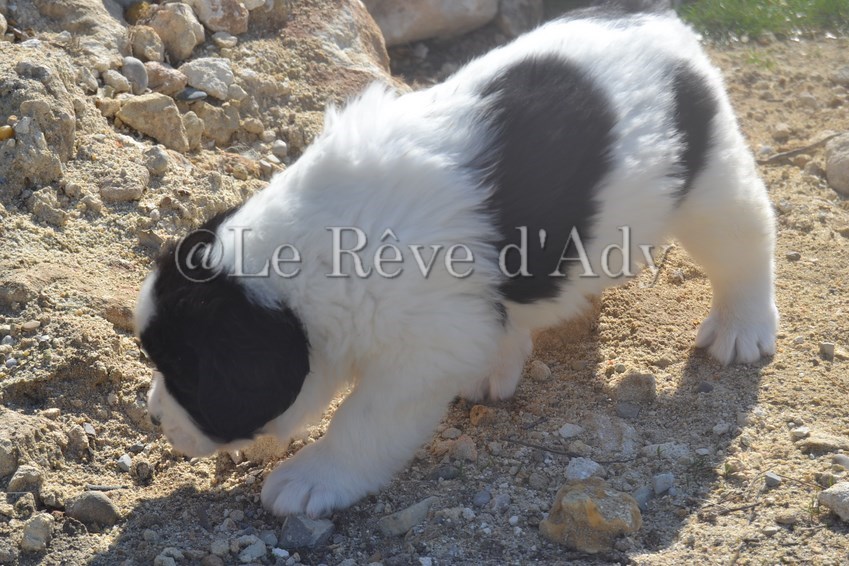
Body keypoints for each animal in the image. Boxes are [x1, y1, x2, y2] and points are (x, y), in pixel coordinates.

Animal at [135, 2, 778, 518]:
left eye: (187, 375)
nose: (152, 417)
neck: (316, 256)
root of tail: (657, 20)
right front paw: (494, 365)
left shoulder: (418, 355)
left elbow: (364, 420)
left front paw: (313, 477)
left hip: (711, 182)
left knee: (746, 241)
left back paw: (742, 327)